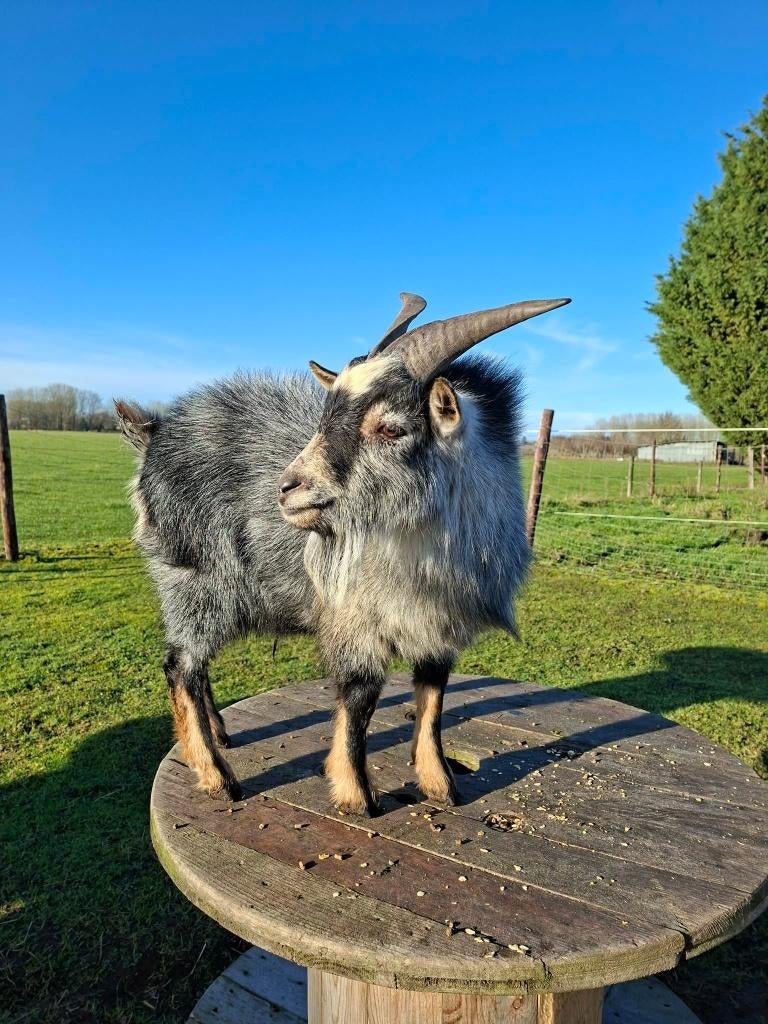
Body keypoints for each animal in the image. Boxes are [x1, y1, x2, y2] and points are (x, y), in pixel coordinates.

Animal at [116, 292, 569, 814]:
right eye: (325, 416)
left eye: (390, 428)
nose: (287, 489)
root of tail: (153, 438)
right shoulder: (354, 621)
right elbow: (359, 700)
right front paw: (357, 795)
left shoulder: (438, 626)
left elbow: (433, 699)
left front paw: (441, 785)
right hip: (196, 579)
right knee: (181, 666)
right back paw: (217, 777)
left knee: (193, 665)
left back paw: (215, 739)